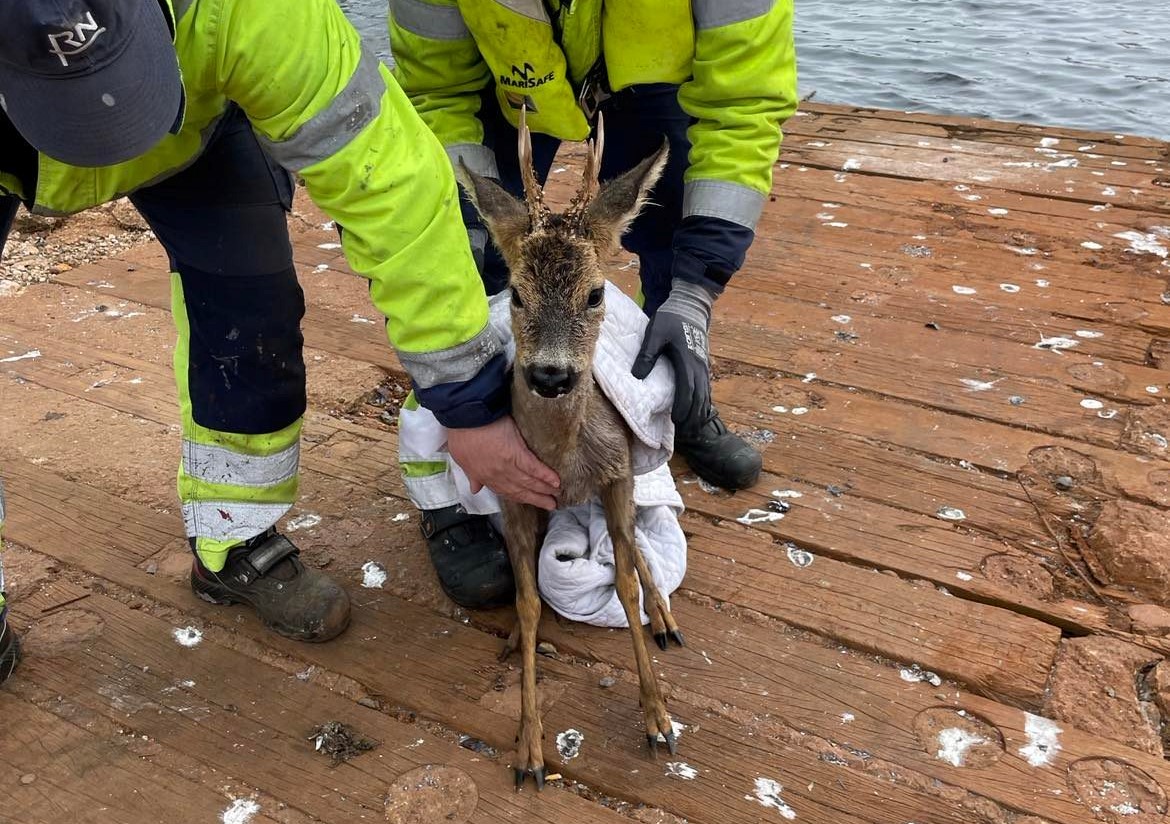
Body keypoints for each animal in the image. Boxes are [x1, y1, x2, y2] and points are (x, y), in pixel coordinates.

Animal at [451, 112, 683, 786]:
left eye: (595, 293)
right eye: (516, 295)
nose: (551, 375)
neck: (565, 462)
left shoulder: (619, 470)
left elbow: (625, 583)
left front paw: (658, 719)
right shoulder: (511, 492)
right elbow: (528, 602)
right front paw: (529, 749)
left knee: (638, 552)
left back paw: (666, 617)